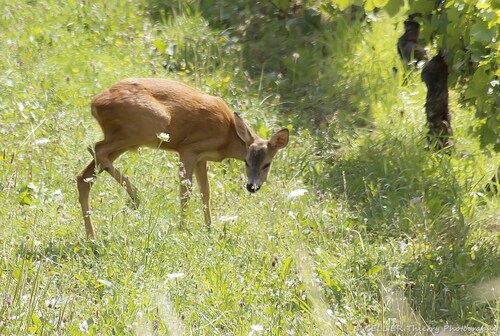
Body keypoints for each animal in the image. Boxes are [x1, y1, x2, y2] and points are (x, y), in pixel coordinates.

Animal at [77, 78, 290, 239]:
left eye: (267, 164)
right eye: (247, 162)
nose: (252, 186)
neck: (228, 136)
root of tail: (95, 104)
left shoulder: (202, 158)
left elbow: (206, 192)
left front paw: (209, 229)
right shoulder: (188, 149)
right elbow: (186, 191)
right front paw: (183, 229)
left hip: (128, 137)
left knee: (85, 174)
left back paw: (92, 238)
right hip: (146, 126)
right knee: (97, 149)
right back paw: (135, 196)